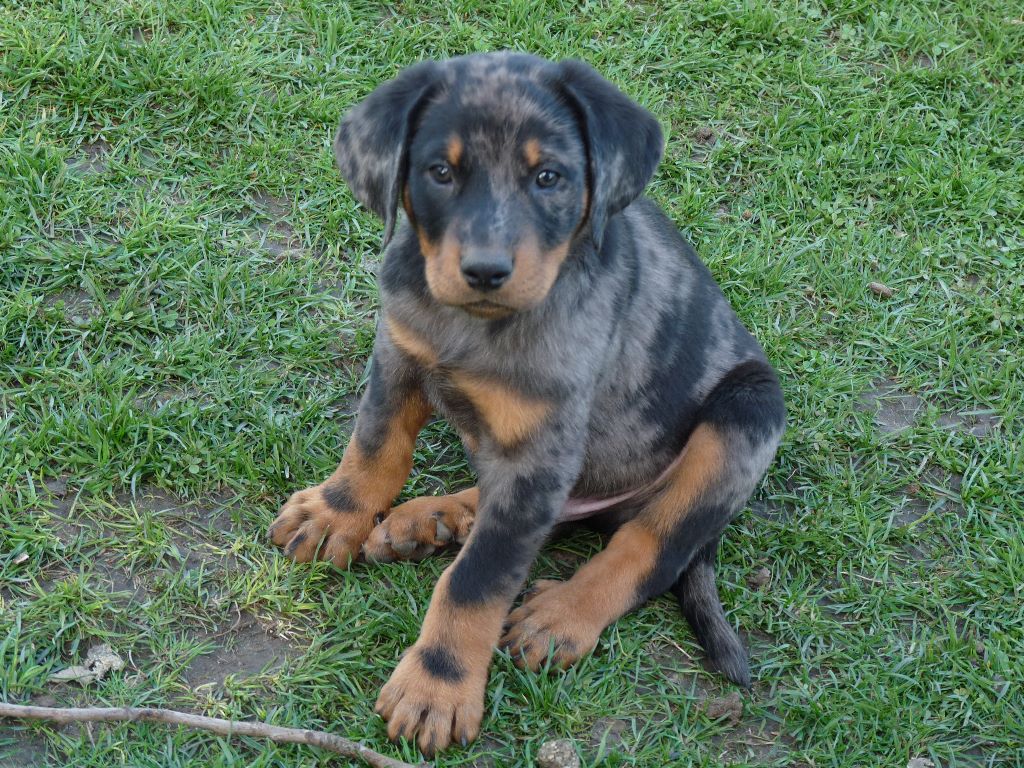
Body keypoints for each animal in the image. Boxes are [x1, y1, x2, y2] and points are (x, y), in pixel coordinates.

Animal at [268, 52, 785, 756]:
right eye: (440, 172)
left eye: (549, 177)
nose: (486, 271)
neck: (474, 327)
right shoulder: (398, 354)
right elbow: (374, 445)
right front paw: (333, 513)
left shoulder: (544, 447)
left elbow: (478, 579)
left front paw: (436, 687)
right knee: (537, 512)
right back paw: (432, 519)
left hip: (744, 416)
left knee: (648, 543)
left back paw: (560, 614)